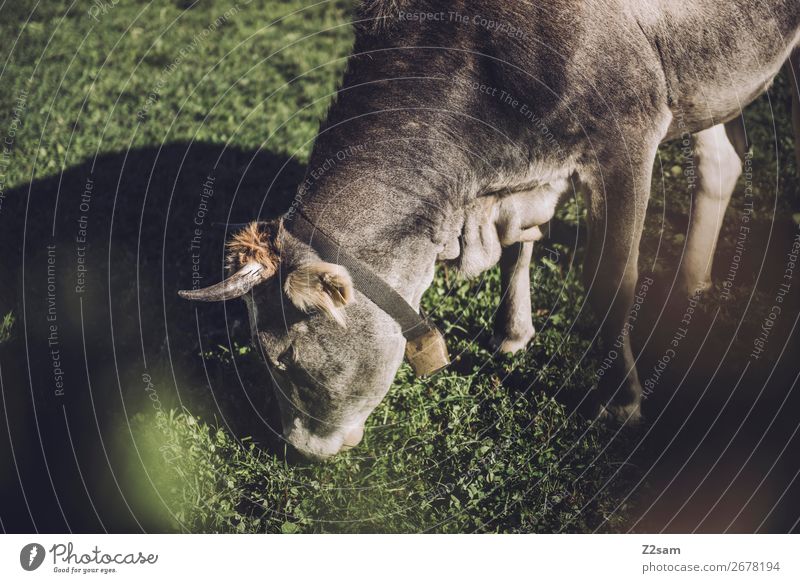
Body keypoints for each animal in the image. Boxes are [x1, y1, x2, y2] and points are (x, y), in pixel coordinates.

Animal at [181, 0, 800, 460]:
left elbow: (610, 282)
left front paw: (619, 402)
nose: (298, 449)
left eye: (282, 358)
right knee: (721, 161)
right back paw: (692, 283)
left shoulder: (627, 138)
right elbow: (518, 250)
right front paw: (513, 332)